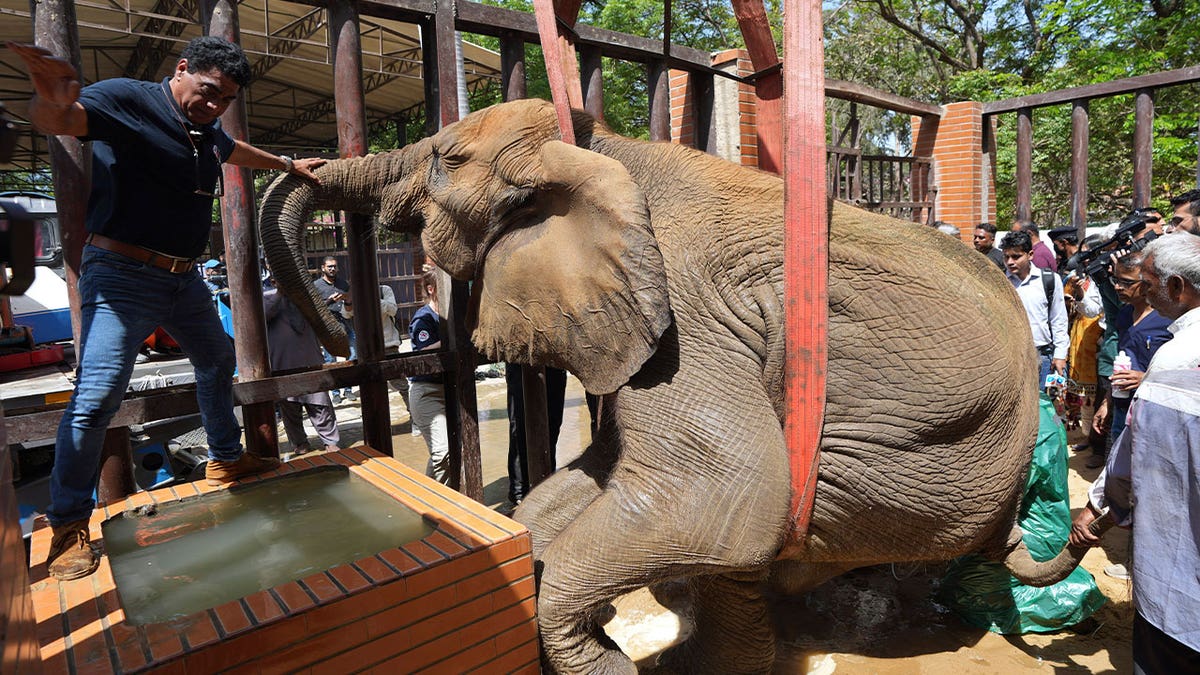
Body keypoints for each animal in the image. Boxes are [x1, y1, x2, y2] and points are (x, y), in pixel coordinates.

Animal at [260, 99, 1099, 672]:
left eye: (443, 158)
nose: (331, 336)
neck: (601, 152)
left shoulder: (691, 315)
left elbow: (719, 488)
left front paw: (600, 651)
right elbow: (599, 479)